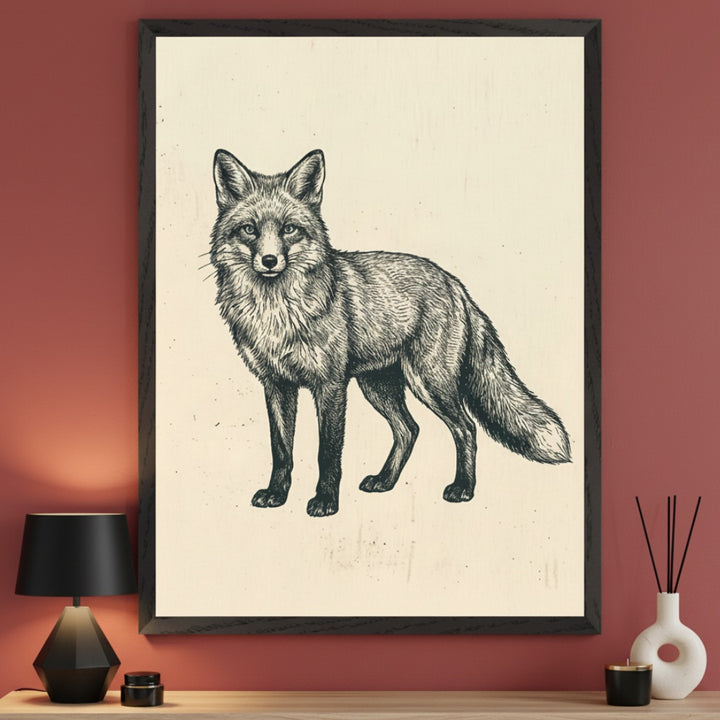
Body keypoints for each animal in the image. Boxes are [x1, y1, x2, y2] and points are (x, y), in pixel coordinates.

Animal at [210, 149, 571, 517]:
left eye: (289, 229)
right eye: (249, 229)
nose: (269, 260)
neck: (277, 313)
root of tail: (455, 283)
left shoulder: (330, 385)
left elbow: (328, 453)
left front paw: (326, 500)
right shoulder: (277, 384)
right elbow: (282, 451)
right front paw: (276, 494)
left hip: (430, 383)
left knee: (466, 428)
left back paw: (463, 488)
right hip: (378, 386)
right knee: (409, 430)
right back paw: (385, 481)